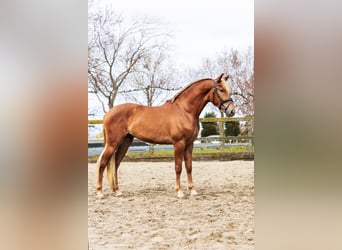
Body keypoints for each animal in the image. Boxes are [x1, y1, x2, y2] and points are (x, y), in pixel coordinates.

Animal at [96, 73, 235, 198]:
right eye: (221, 89)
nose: (232, 111)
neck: (184, 110)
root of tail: (108, 114)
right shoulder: (179, 143)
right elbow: (178, 167)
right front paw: (179, 192)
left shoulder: (189, 144)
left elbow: (189, 166)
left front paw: (192, 190)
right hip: (112, 144)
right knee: (103, 163)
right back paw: (100, 192)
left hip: (125, 142)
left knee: (115, 165)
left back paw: (117, 191)